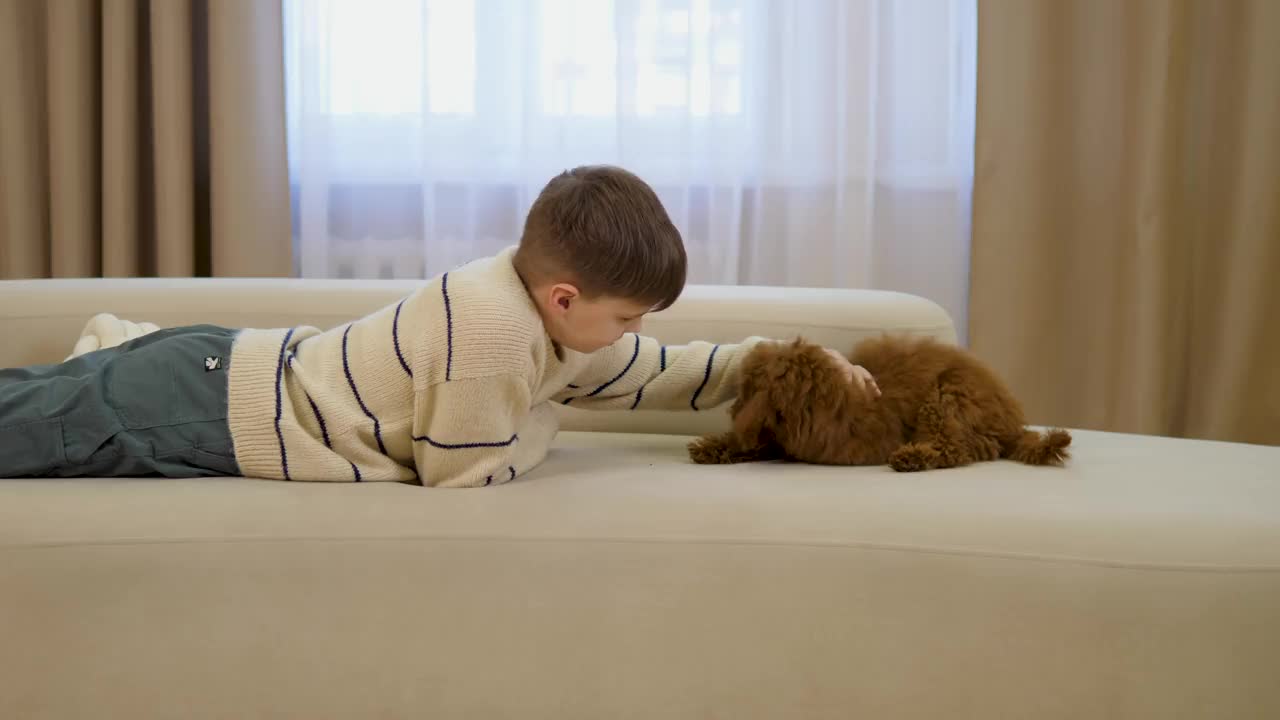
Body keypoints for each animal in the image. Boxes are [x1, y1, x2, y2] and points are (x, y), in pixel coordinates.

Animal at [691, 335, 1070, 471]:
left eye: (747, 389)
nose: (734, 410)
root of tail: (1012, 423)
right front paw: (714, 446)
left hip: (946, 398)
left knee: (956, 449)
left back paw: (912, 457)